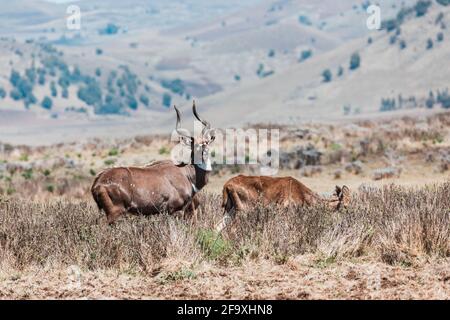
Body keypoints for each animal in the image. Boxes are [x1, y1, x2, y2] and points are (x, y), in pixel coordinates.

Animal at [218, 174, 352, 231]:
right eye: (345, 203)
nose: (349, 212)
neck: (300, 191)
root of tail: (227, 185)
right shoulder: (284, 211)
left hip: (230, 211)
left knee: (218, 226)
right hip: (243, 211)